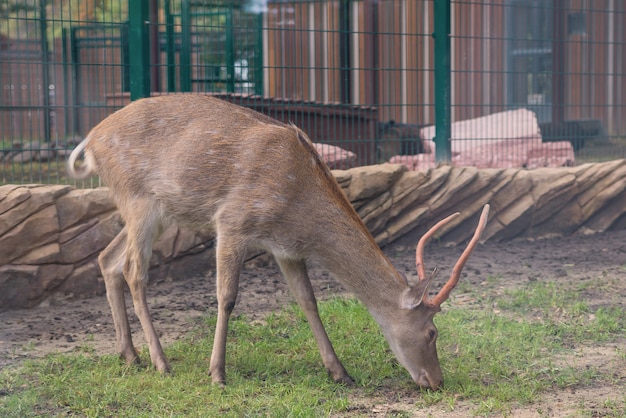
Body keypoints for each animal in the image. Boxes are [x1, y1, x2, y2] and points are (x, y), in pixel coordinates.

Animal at [68, 94, 488, 388]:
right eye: (433, 332)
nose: (437, 381)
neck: (299, 208)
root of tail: (90, 140)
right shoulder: (232, 222)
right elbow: (227, 297)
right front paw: (217, 373)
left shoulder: (287, 249)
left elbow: (308, 301)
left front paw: (340, 372)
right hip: (139, 200)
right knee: (133, 270)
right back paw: (161, 362)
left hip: (156, 212)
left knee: (107, 259)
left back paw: (130, 355)